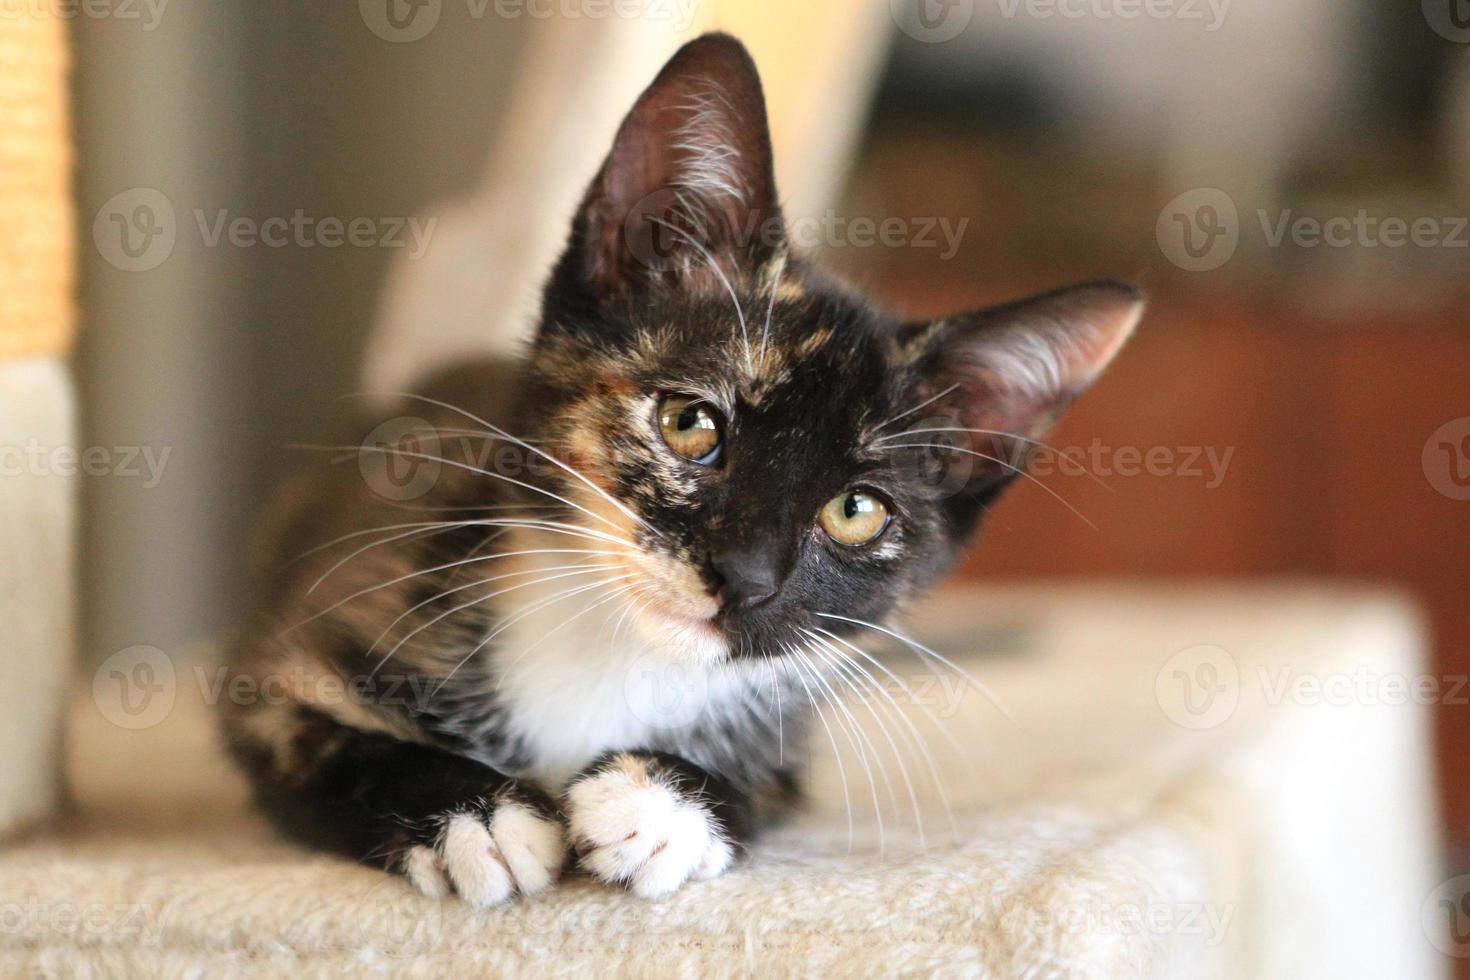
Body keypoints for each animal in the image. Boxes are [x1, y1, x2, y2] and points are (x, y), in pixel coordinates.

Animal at [220, 30, 1146, 905]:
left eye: (857, 511)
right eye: (690, 424)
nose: (745, 579)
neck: (615, 654)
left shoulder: (788, 726)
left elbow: (761, 788)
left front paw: (665, 804)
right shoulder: (300, 648)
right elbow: (327, 745)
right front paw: (473, 816)